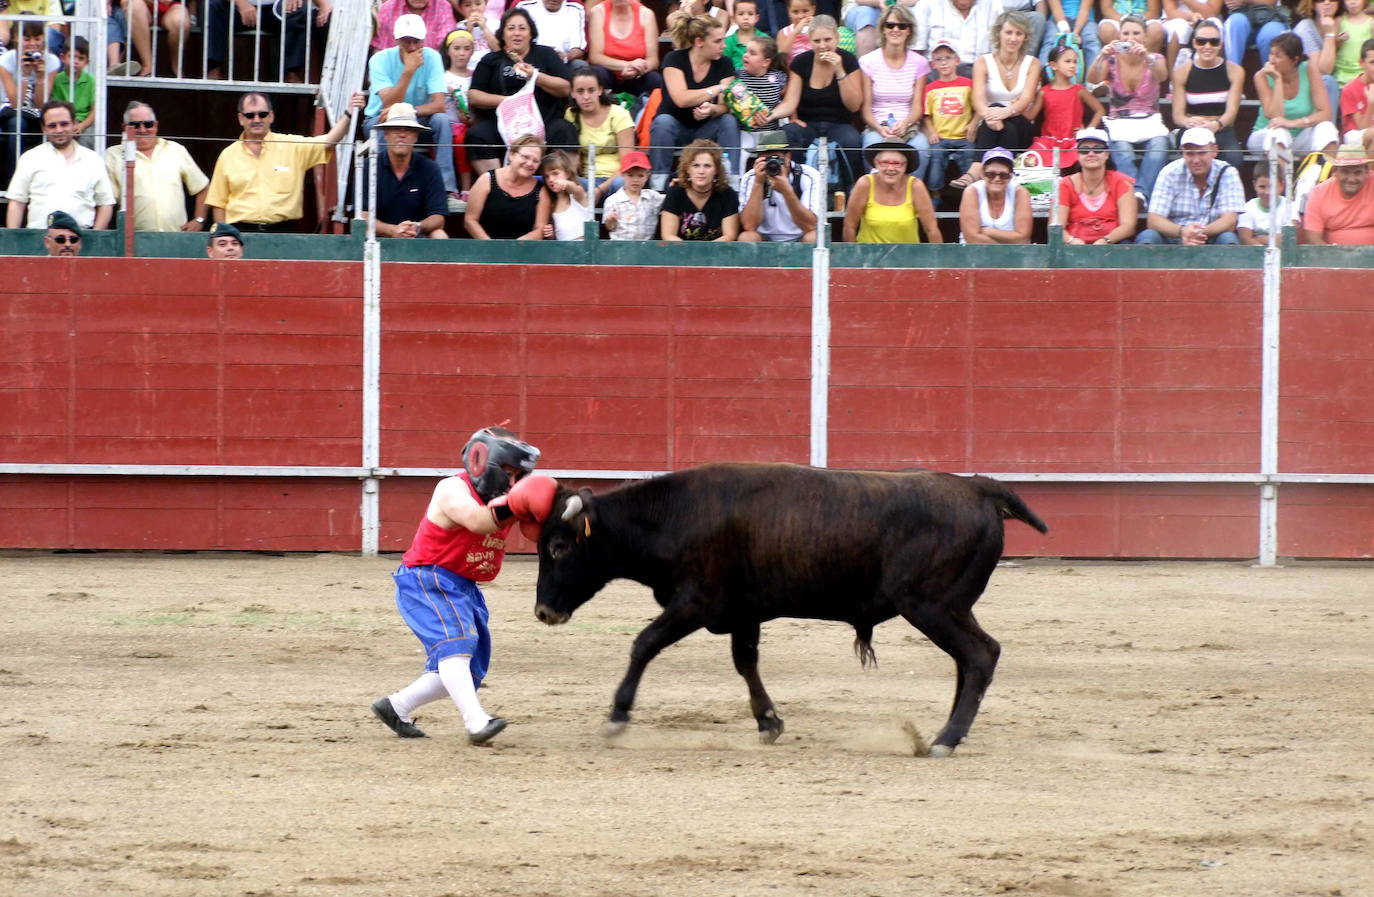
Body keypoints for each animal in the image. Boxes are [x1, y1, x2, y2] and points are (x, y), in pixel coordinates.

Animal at [530, 461, 1044, 758]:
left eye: (559, 547)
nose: (543, 611)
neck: (676, 515)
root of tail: (978, 490)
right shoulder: (742, 613)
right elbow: (745, 663)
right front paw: (769, 722)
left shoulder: (697, 601)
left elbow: (644, 643)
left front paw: (617, 717)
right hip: (949, 607)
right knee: (970, 660)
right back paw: (948, 734)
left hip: (929, 604)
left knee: (980, 655)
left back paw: (944, 739)